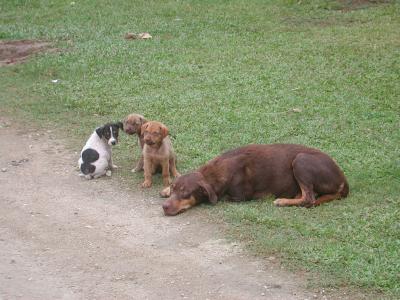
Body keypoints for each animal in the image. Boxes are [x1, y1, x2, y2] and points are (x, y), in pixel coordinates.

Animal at [161, 144, 348, 216]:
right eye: (175, 189)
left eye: (186, 193)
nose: (164, 207)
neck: (212, 174)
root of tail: (344, 181)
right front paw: (166, 189)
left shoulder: (239, 197)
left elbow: (224, 197)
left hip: (301, 160)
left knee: (309, 198)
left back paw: (283, 201)